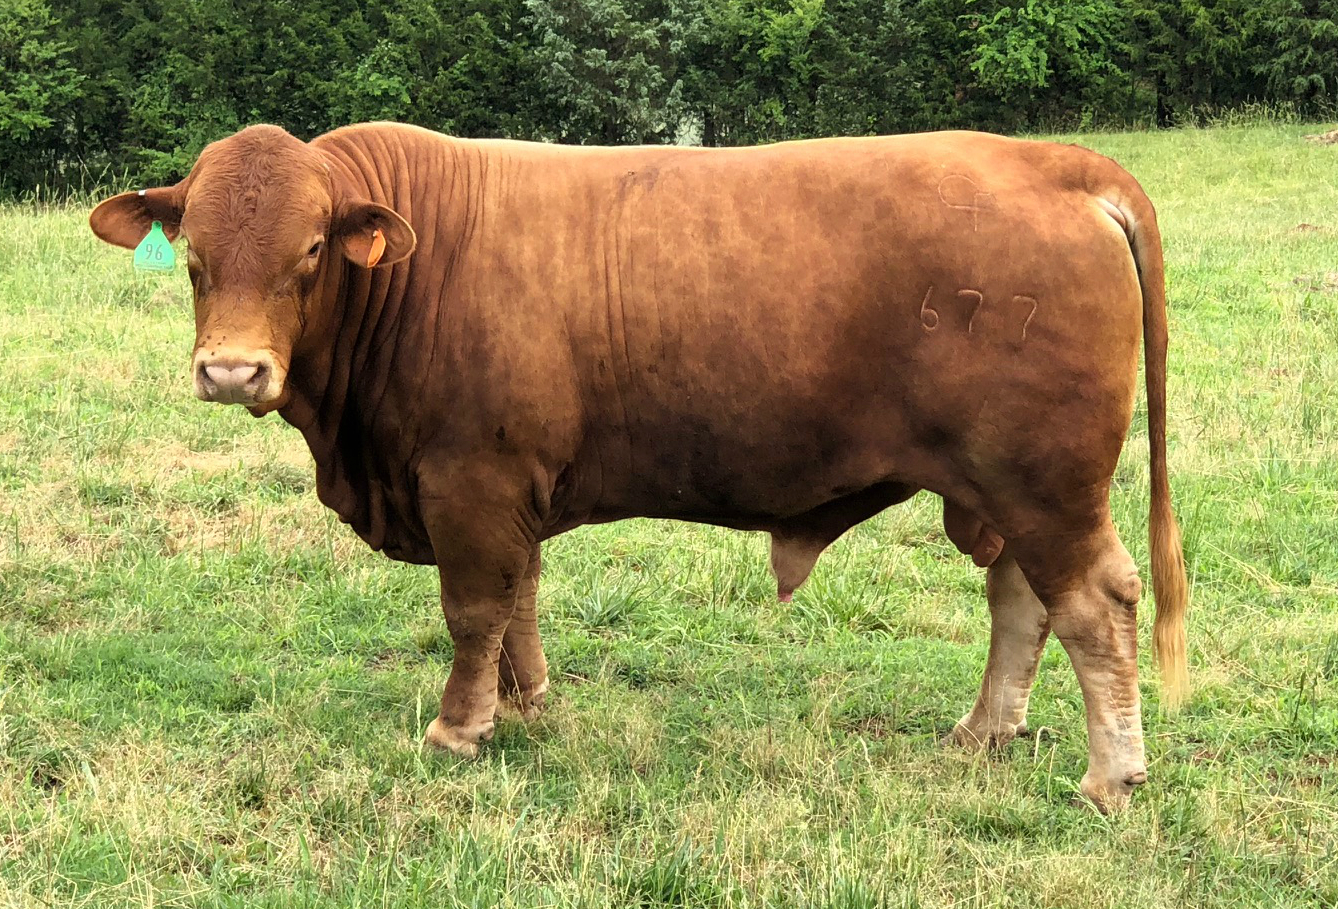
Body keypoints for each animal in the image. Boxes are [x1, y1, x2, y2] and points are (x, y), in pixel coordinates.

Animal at [89, 122, 1188, 812]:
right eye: (192, 254)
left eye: (312, 250)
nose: (232, 370)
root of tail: (1048, 161)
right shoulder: (511, 485)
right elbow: (521, 600)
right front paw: (525, 706)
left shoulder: (469, 480)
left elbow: (474, 610)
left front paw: (458, 728)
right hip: (1003, 487)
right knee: (1021, 599)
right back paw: (983, 731)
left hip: (1045, 481)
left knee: (1095, 603)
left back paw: (1111, 777)